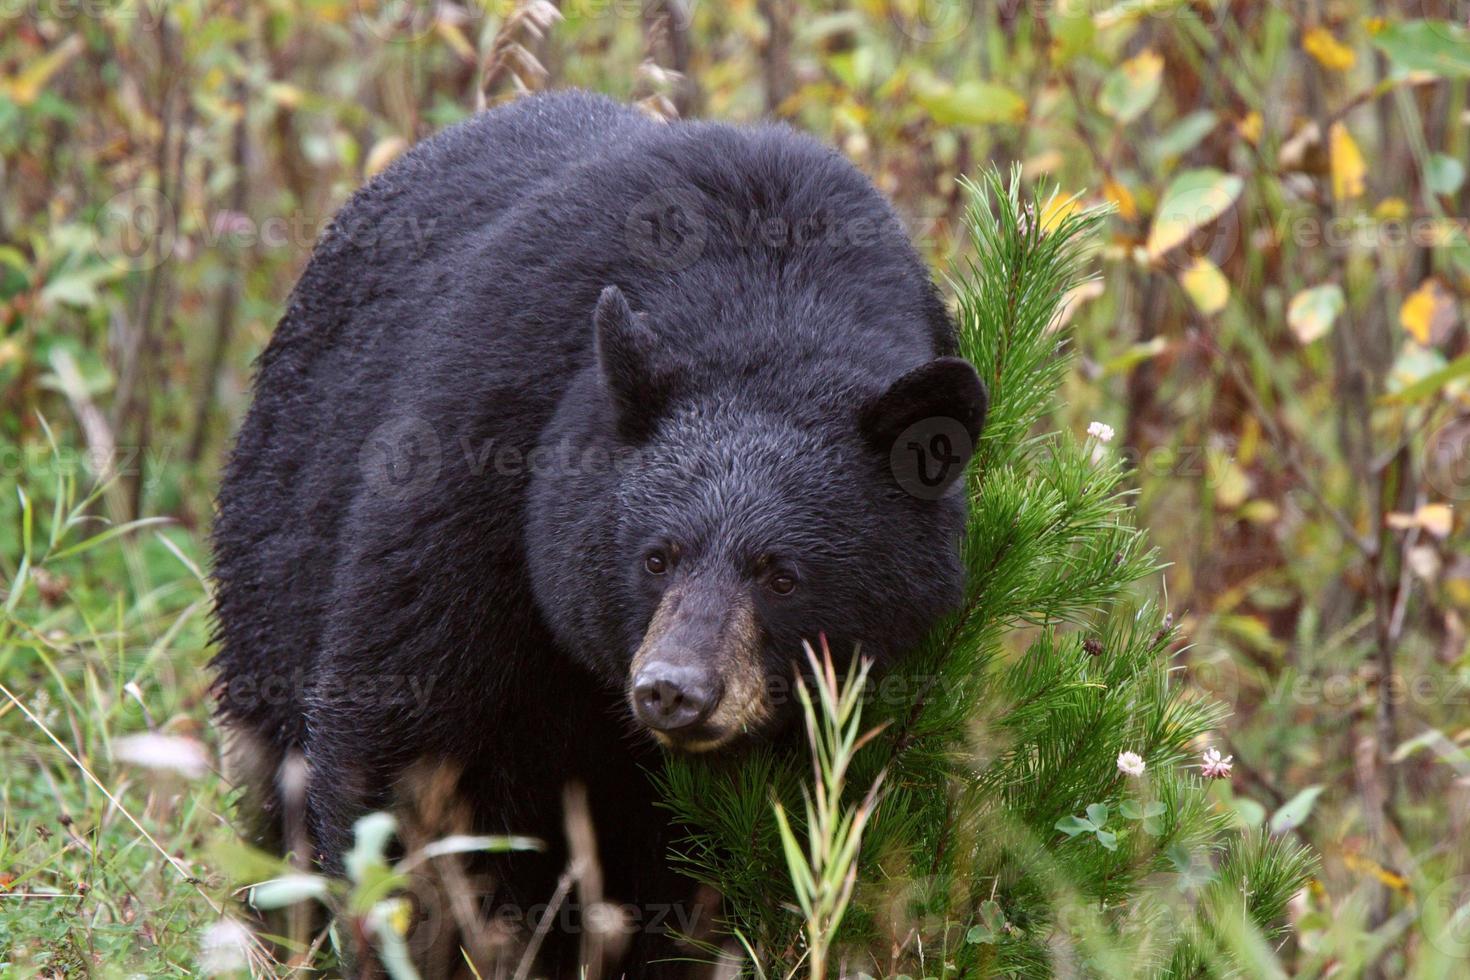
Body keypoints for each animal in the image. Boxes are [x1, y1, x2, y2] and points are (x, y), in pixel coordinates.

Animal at [210, 89, 987, 975]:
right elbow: (405, 745)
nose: (674, 689)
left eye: (782, 573)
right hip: (276, 548)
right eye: (656, 557)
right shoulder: (478, 471)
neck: (771, 304)